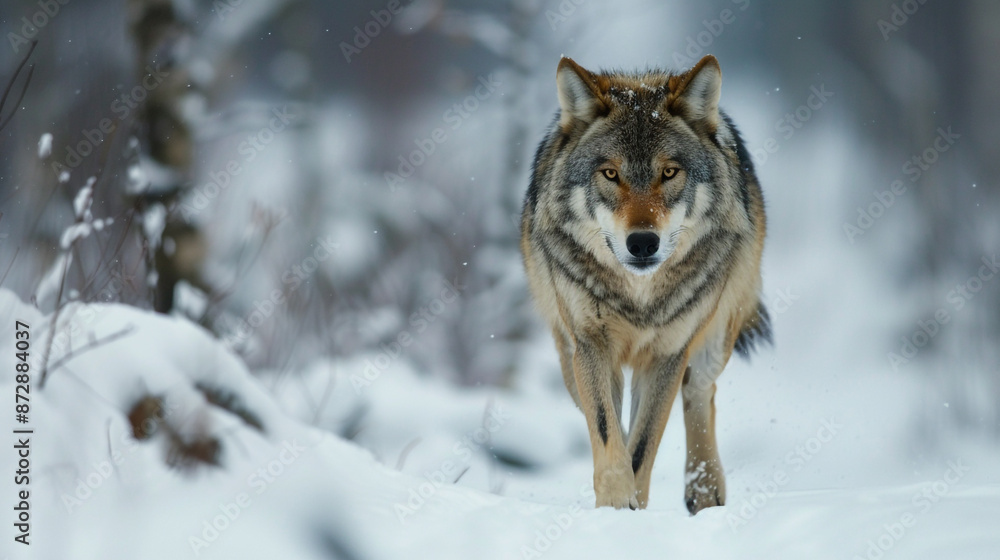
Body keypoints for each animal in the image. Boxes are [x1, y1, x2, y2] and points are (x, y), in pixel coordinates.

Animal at [520, 55, 769, 513]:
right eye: (610, 173)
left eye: (669, 172)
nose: (641, 243)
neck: (639, 296)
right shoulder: (590, 346)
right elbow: (609, 435)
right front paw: (616, 508)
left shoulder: (669, 354)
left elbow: (641, 448)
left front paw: (630, 509)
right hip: (567, 356)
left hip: (713, 342)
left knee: (700, 393)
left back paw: (705, 491)